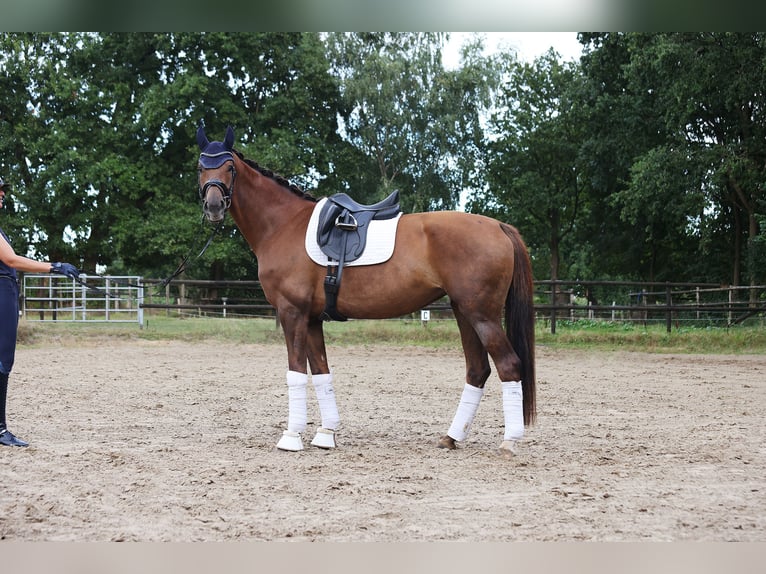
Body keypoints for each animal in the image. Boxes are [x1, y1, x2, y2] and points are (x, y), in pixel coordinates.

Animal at [196, 126, 536, 455]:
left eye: (229, 167)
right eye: (200, 166)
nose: (213, 206)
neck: (283, 224)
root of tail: (499, 226)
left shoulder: (292, 313)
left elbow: (296, 373)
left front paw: (291, 437)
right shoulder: (312, 319)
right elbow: (321, 372)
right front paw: (326, 434)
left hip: (482, 315)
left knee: (509, 365)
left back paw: (510, 441)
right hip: (464, 312)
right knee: (477, 370)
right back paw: (451, 438)